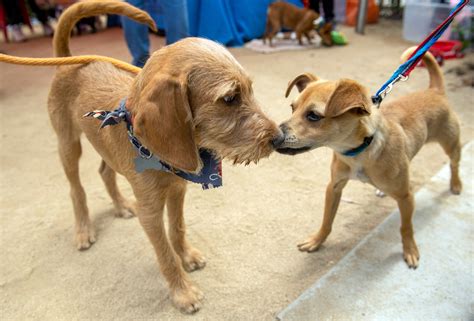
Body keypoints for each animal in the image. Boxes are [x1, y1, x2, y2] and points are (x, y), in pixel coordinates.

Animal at [46, 0, 284, 312]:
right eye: (230, 98)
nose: (279, 139)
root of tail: (69, 60)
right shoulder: (150, 212)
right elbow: (165, 255)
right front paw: (183, 292)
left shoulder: (178, 191)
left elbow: (178, 228)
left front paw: (187, 256)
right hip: (68, 143)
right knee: (76, 189)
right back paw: (84, 230)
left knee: (105, 171)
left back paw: (121, 205)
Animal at [276, 47, 462, 268]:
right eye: (292, 108)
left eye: (313, 116)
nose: (274, 137)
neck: (360, 151)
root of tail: (435, 91)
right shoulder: (334, 187)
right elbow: (327, 221)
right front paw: (317, 240)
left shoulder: (406, 197)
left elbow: (406, 228)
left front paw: (410, 250)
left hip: (451, 145)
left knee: (454, 163)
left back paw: (456, 184)